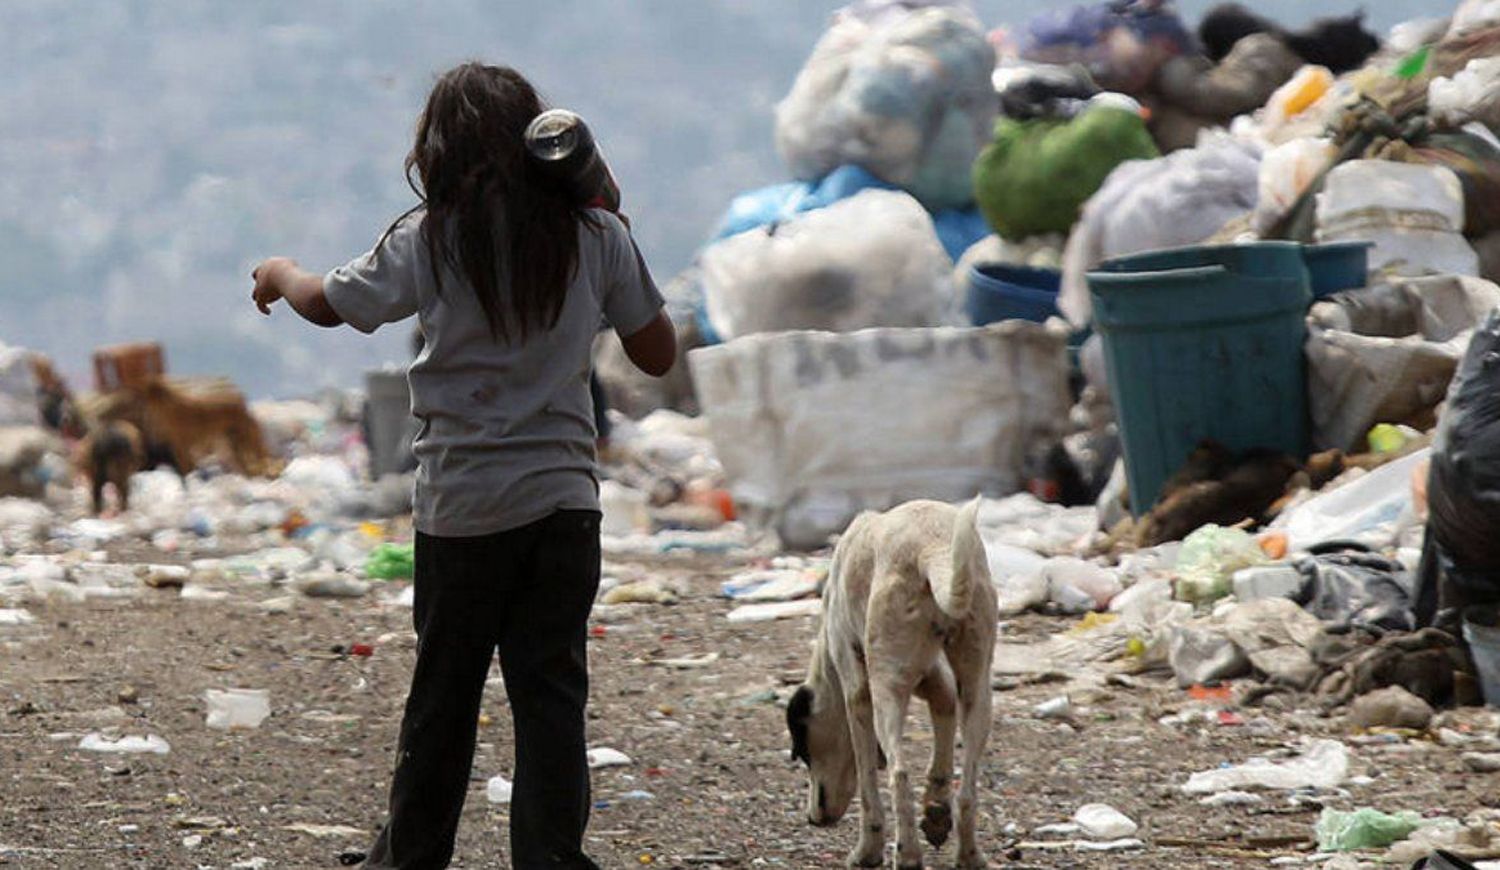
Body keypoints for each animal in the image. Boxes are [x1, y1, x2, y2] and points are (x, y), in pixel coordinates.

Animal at [786, 501, 996, 864]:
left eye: (803, 751)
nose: (812, 818)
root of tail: (932, 548)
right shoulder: (934, 679)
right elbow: (943, 709)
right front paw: (936, 809)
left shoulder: (857, 694)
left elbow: (868, 781)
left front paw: (867, 851)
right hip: (977, 688)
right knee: (968, 789)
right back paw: (968, 855)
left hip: (887, 689)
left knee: (899, 775)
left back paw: (907, 854)